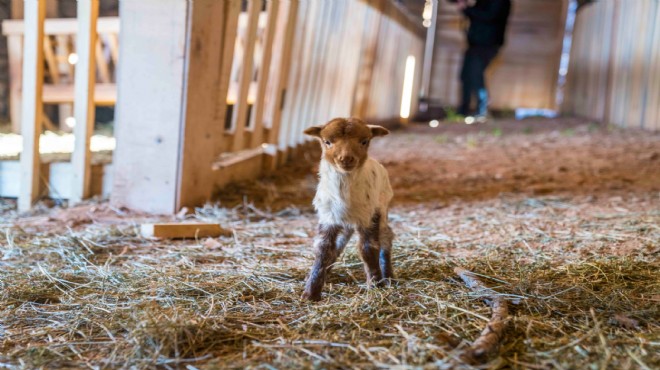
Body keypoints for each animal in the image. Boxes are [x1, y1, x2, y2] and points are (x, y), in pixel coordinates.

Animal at [302, 117, 394, 302]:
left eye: (364, 141)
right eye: (327, 142)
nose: (346, 159)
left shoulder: (369, 216)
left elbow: (368, 248)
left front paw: (376, 285)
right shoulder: (328, 217)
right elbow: (323, 249)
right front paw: (311, 292)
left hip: (383, 206)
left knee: (386, 236)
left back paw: (389, 276)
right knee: (340, 243)